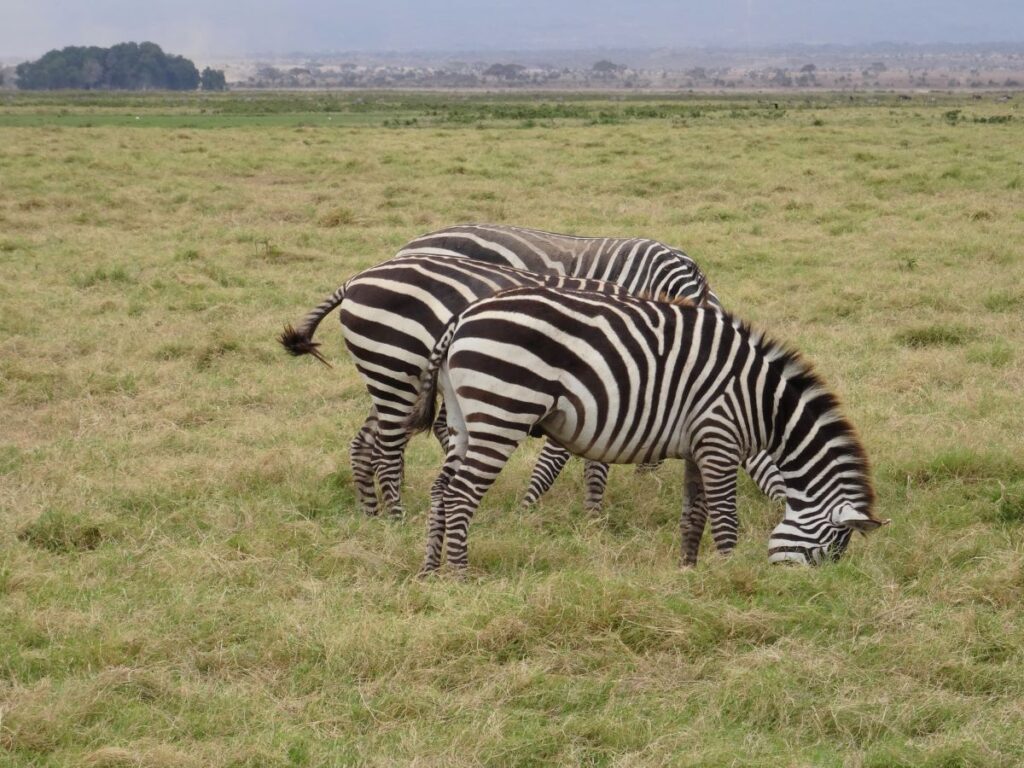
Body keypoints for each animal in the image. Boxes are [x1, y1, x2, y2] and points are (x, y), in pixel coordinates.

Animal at [406, 286, 887, 573]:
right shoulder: (720, 438)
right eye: (826, 551)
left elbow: (694, 514)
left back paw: (431, 570)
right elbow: (725, 517)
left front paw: (689, 571)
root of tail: (462, 317)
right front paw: (730, 575)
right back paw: (461, 574)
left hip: (467, 418)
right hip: (503, 412)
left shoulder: (699, 444)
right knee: (461, 494)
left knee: (441, 489)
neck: (764, 403)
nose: (798, 591)